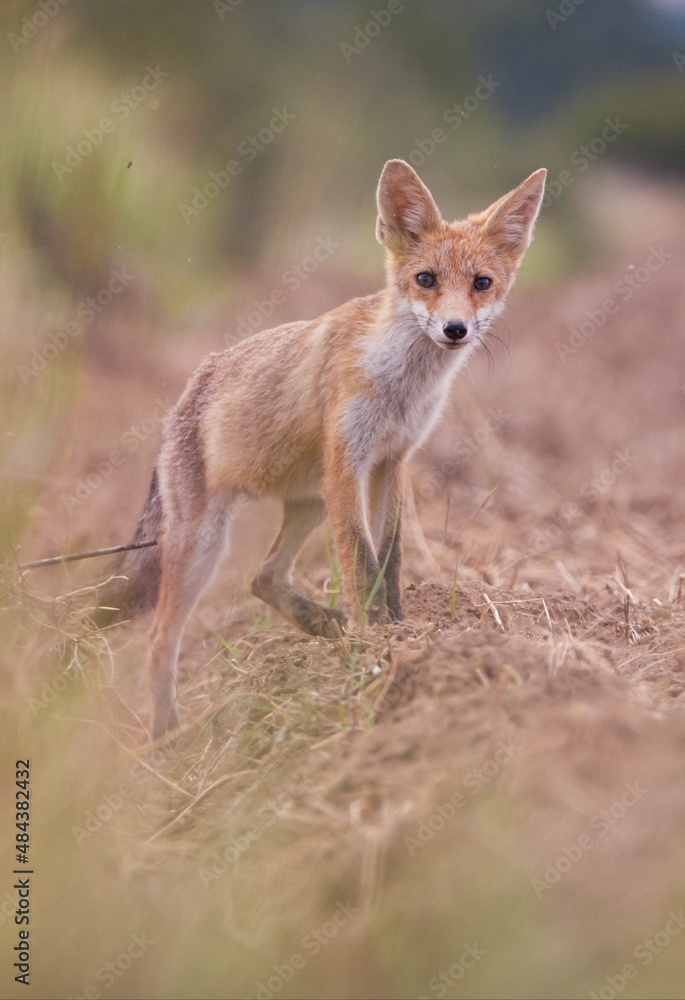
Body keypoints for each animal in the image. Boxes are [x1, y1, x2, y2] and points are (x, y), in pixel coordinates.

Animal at [101, 159, 546, 737]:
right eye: (425, 280)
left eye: (481, 283)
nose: (455, 329)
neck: (401, 387)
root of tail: (185, 395)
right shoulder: (348, 466)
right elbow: (360, 563)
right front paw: (375, 647)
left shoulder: (390, 463)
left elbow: (390, 559)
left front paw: (399, 632)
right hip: (207, 541)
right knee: (161, 639)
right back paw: (167, 735)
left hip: (310, 501)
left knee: (263, 578)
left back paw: (318, 622)